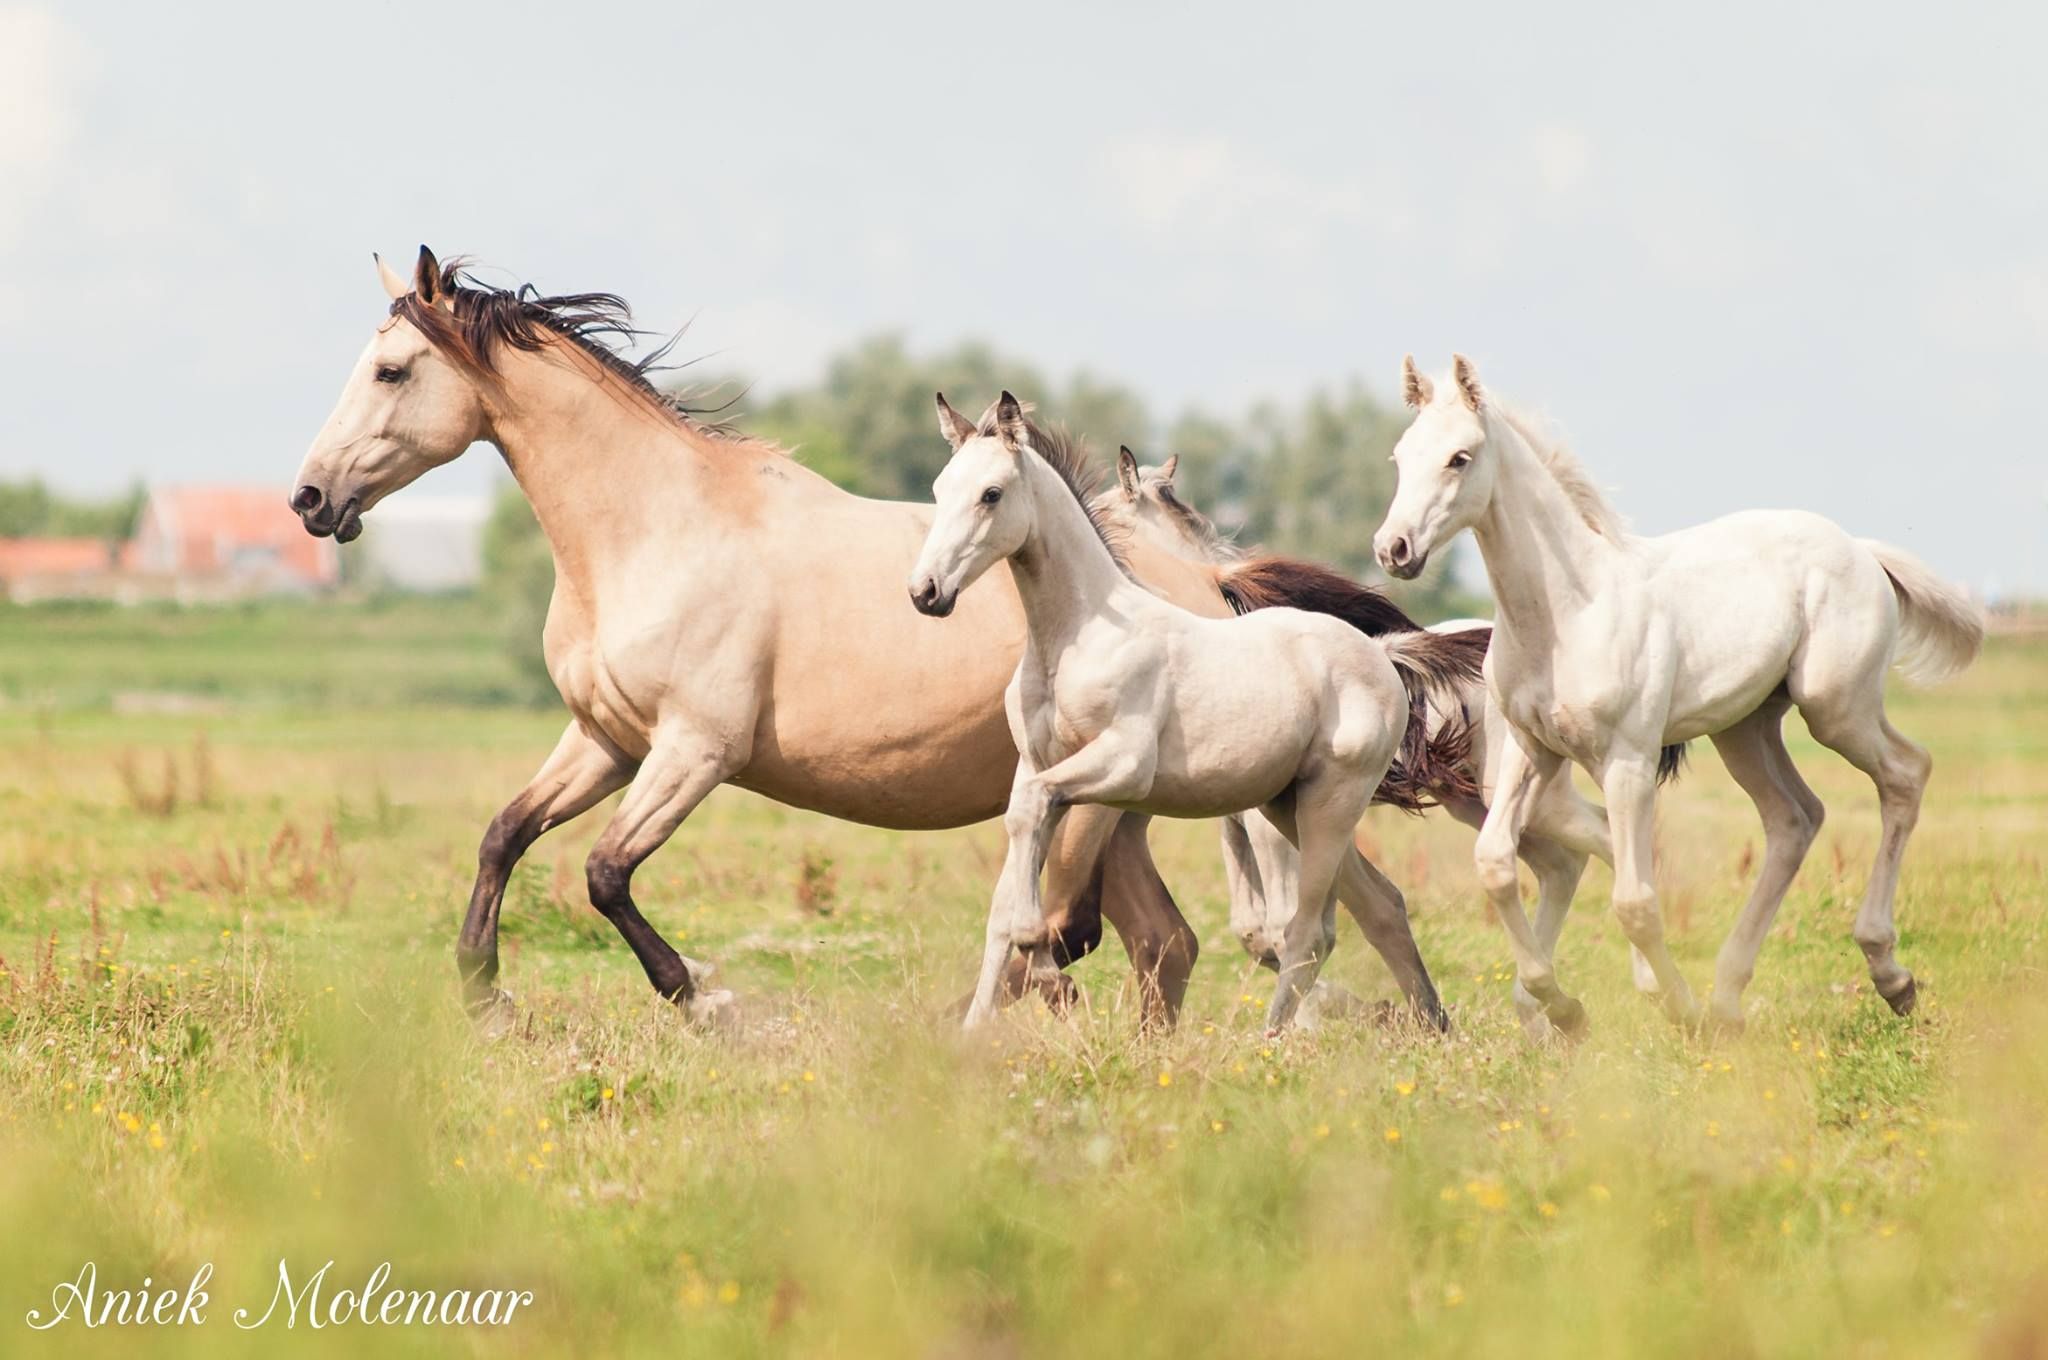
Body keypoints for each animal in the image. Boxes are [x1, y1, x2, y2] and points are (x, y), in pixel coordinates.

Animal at [917, 393, 1490, 1032]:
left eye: (991, 494)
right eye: (940, 487)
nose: (927, 592)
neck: (1075, 636)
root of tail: (1384, 655)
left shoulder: (1123, 764)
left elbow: (1039, 820)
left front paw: (1044, 969)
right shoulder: (1035, 764)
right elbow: (1013, 855)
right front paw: (976, 1027)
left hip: (1331, 803)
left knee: (1311, 930)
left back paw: (1276, 1039)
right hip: (1287, 805)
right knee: (1379, 904)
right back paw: (1432, 1025)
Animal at [1384, 356, 1974, 1036]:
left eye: (1460, 457)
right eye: (1400, 456)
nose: (1394, 549)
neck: (1568, 611)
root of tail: (1862, 550)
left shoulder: (1627, 761)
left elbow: (1635, 900)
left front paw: (1676, 1008)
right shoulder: (1530, 750)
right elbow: (1496, 863)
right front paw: (1560, 1004)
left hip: (1835, 707)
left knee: (1905, 773)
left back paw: (1889, 975)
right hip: (1744, 727)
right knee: (1794, 818)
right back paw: (1730, 997)